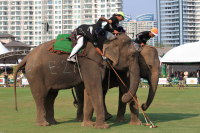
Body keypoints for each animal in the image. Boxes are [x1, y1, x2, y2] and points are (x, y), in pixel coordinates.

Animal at [13, 34, 141, 129]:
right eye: (133, 54)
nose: (124, 95)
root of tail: (27, 56)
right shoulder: (91, 63)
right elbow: (94, 87)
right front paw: (103, 127)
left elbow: (88, 90)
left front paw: (88, 125)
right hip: (35, 74)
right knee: (41, 95)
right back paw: (43, 124)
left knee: (51, 96)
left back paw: (53, 122)